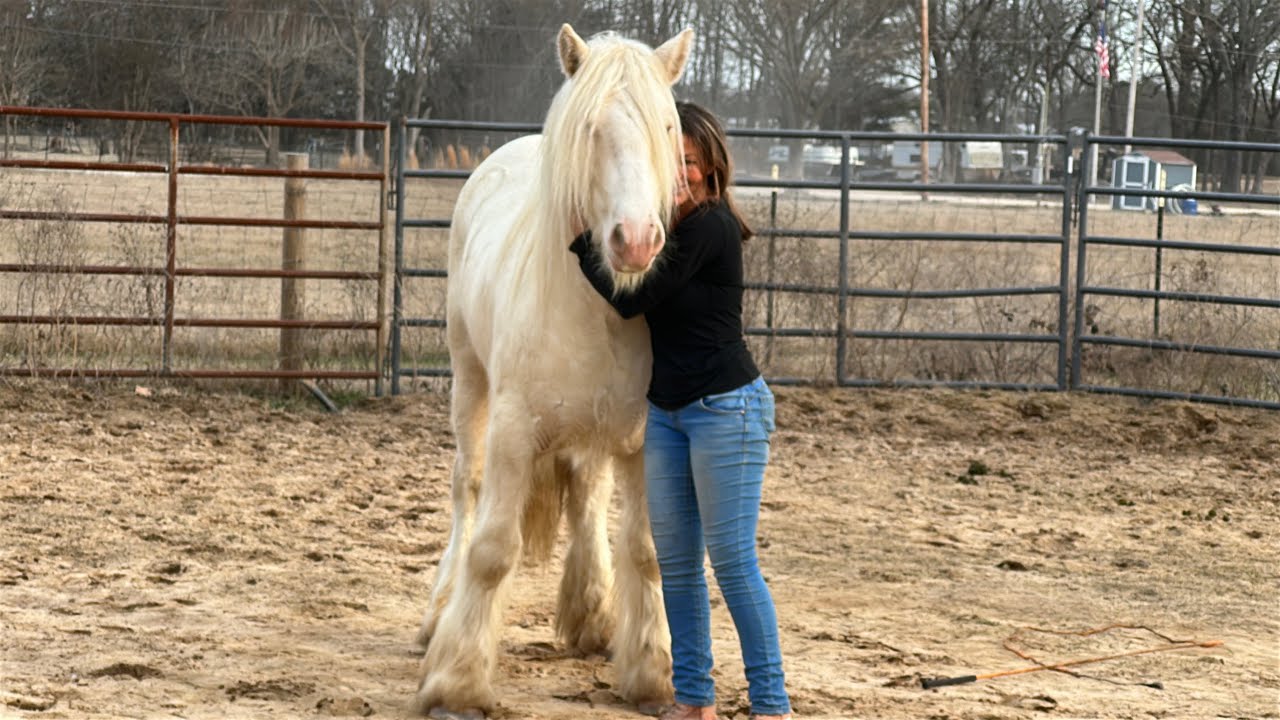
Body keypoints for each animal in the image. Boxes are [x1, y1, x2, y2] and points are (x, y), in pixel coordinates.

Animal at [412, 24, 694, 719]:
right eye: (592, 128)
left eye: (667, 125)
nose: (635, 241)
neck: (603, 308)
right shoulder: (514, 432)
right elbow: (492, 551)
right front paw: (455, 683)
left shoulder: (643, 440)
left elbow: (646, 551)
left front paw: (651, 673)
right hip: (470, 384)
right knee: (466, 491)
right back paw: (438, 615)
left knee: (587, 497)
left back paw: (591, 616)